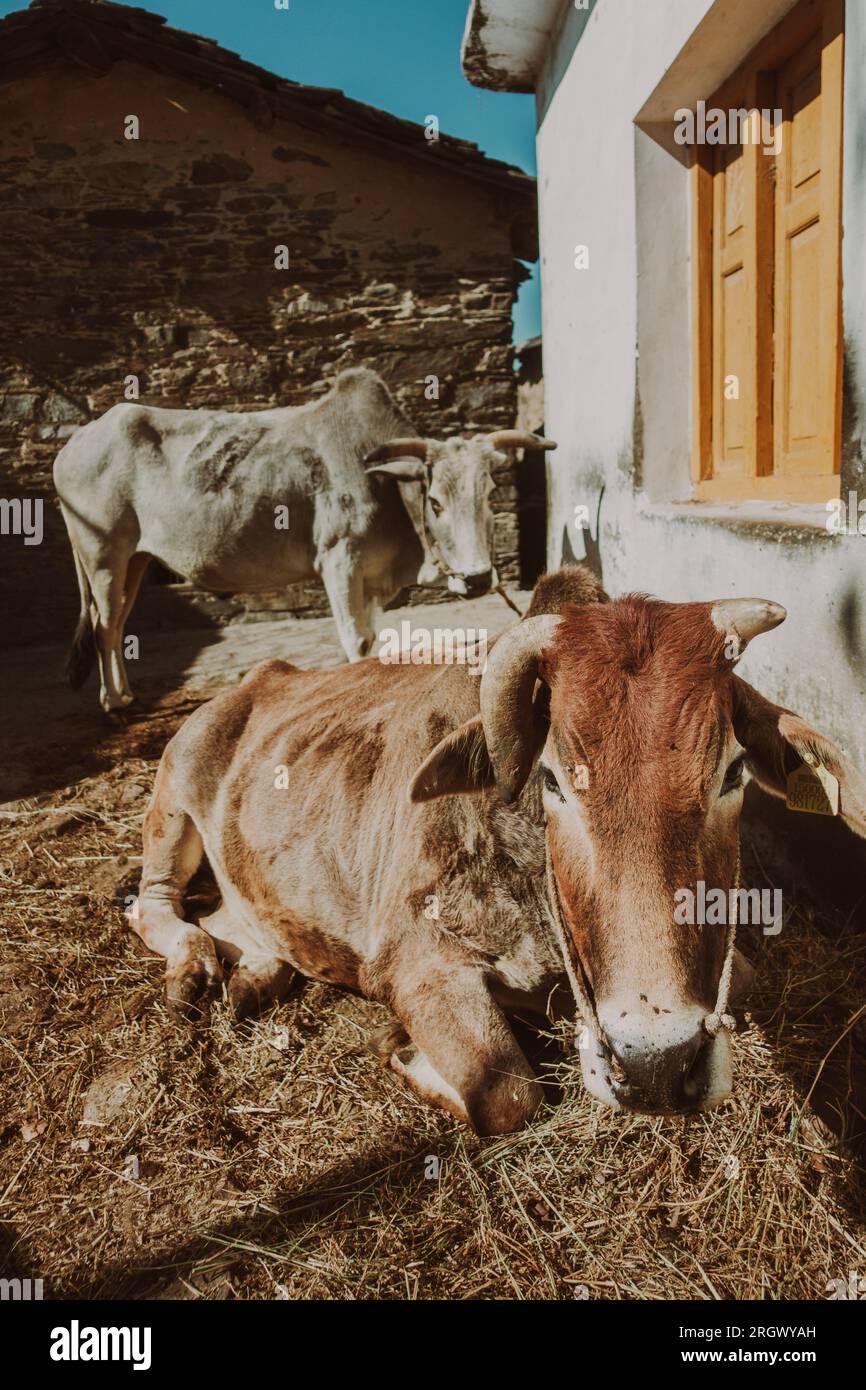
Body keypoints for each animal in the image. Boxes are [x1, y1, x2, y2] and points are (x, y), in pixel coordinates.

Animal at [52, 369, 556, 711]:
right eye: (434, 501)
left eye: (489, 493)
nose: (478, 579)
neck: (387, 488)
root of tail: (75, 443)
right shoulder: (340, 562)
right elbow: (357, 640)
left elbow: (372, 638)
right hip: (103, 557)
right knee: (104, 626)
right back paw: (115, 703)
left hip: (134, 562)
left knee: (117, 624)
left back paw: (127, 693)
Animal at [135, 569, 866, 1134]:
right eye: (552, 780)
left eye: (734, 772)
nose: (655, 1066)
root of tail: (260, 677)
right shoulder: (416, 965)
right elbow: (509, 1094)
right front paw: (401, 1049)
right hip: (172, 795)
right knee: (151, 906)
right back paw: (194, 967)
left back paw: (253, 975)